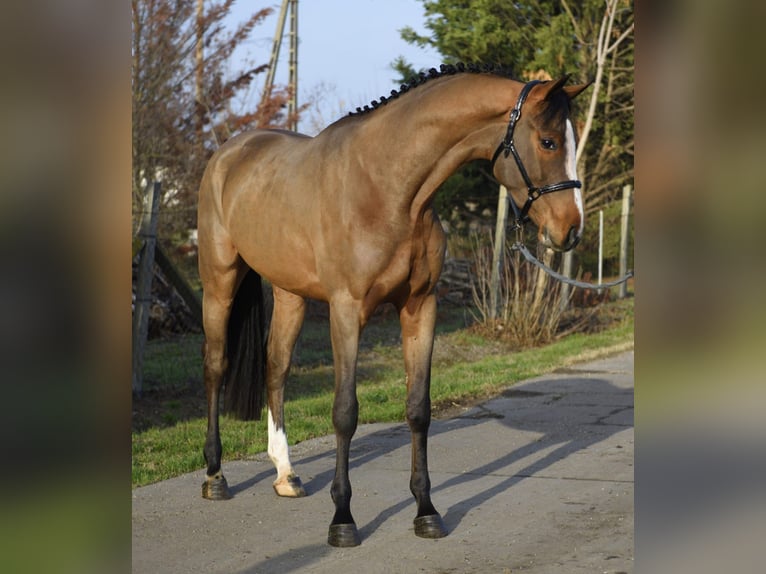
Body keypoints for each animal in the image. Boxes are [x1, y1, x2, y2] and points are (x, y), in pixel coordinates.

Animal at [197, 64, 589, 547]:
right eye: (549, 142)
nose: (570, 228)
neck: (389, 190)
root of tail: (228, 153)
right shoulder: (347, 311)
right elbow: (345, 412)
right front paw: (343, 519)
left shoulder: (420, 308)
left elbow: (418, 409)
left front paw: (426, 511)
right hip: (219, 282)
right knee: (216, 366)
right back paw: (215, 476)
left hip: (290, 293)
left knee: (276, 368)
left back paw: (285, 474)